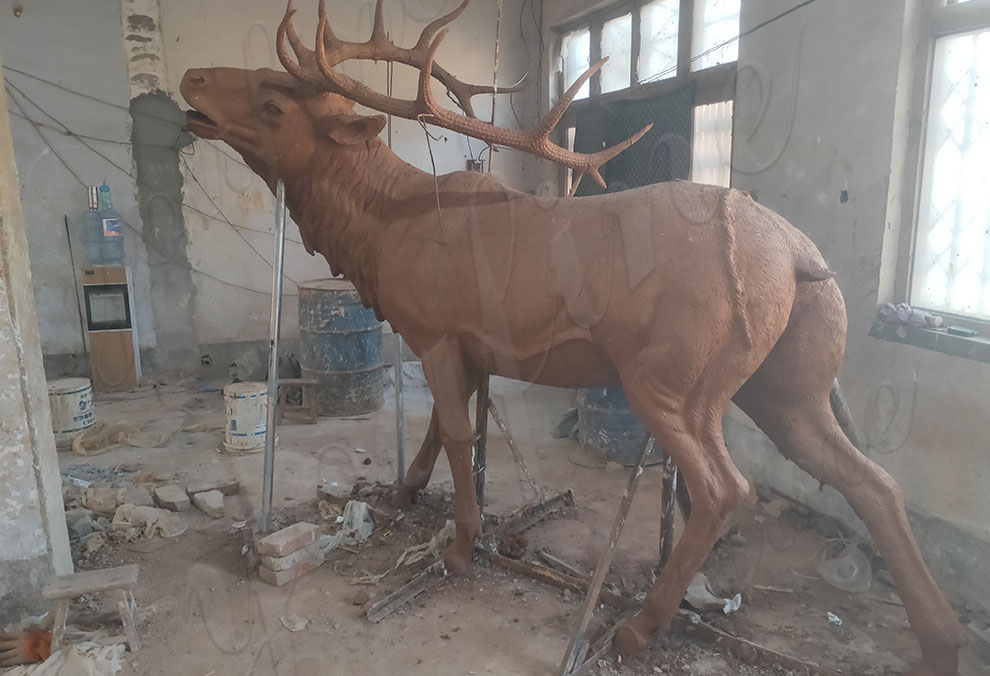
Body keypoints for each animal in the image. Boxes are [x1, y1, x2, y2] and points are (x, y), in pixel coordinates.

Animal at [179, 1, 964, 673]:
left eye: (274, 105)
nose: (190, 78)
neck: (375, 240)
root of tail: (803, 259)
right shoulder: (467, 345)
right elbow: (441, 431)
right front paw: (404, 492)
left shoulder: (434, 329)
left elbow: (457, 436)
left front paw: (460, 547)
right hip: (790, 385)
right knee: (872, 480)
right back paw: (940, 639)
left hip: (673, 377)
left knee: (724, 487)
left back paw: (640, 626)